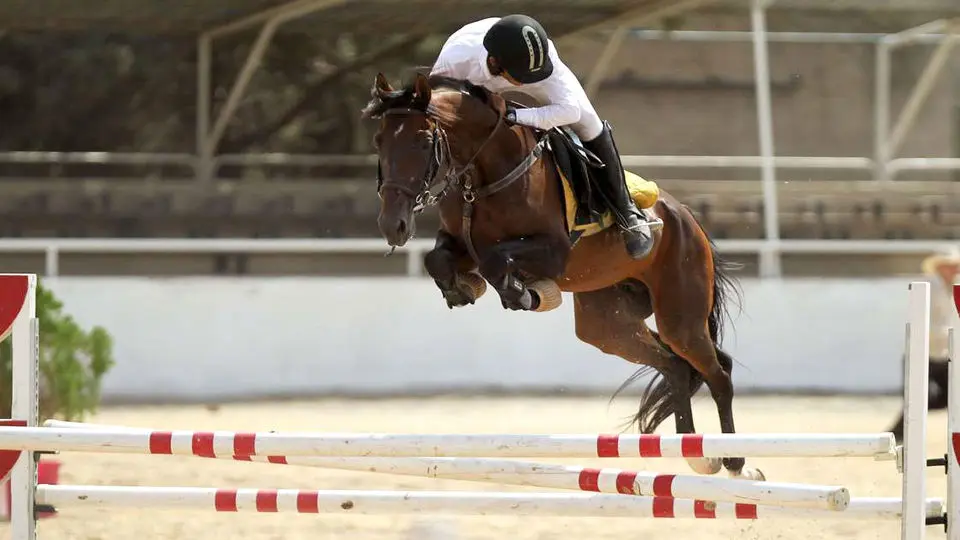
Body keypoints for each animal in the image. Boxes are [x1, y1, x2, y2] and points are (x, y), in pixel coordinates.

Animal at [362, 71, 764, 480]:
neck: (486, 172)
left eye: (422, 140)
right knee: (676, 367)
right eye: (379, 141)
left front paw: (527, 293)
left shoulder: (555, 251)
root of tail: (687, 217)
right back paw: (698, 455)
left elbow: (495, 260)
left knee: (717, 373)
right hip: (608, 326)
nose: (392, 226)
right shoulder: (460, 242)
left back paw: (735, 462)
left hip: (679, 316)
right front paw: (464, 289)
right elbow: (438, 260)